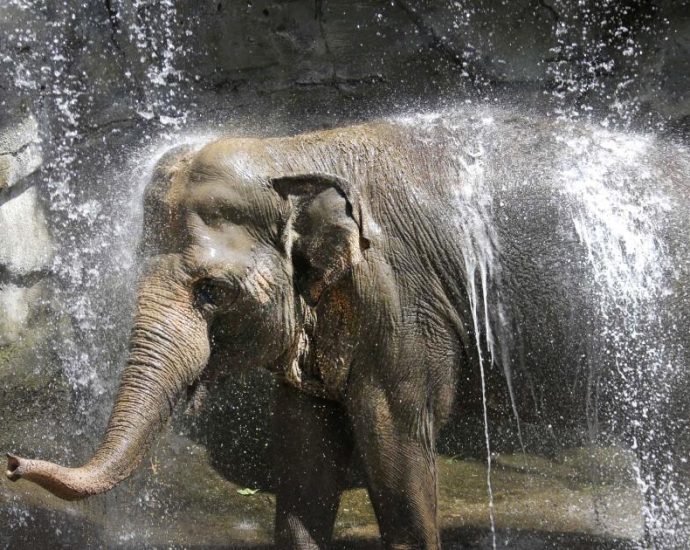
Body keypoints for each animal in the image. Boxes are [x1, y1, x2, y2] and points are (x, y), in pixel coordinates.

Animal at [6, 109, 690, 548]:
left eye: (212, 292)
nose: (12, 462)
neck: (295, 150)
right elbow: (305, 450)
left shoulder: (399, 299)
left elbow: (395, 438)